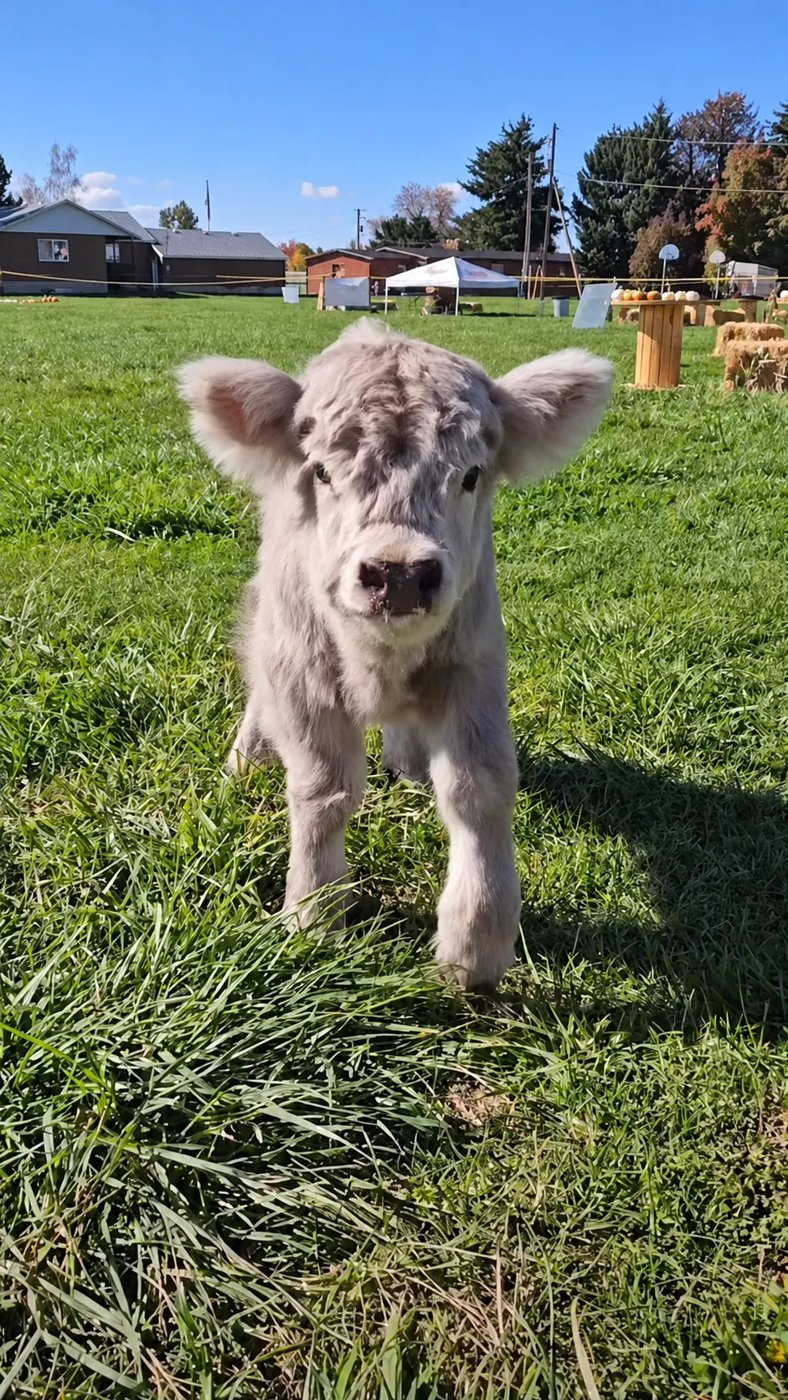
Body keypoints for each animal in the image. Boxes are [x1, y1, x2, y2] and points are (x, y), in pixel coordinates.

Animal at [179, 320, 613, 990]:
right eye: (322, 472)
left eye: (471, 475)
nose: (400, 574)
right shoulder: (301, 675)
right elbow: (323, 791)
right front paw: (313, 914)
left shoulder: (475, 666)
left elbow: (480, 788)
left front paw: (476, 945)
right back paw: (246, 759)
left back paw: (408, 767)